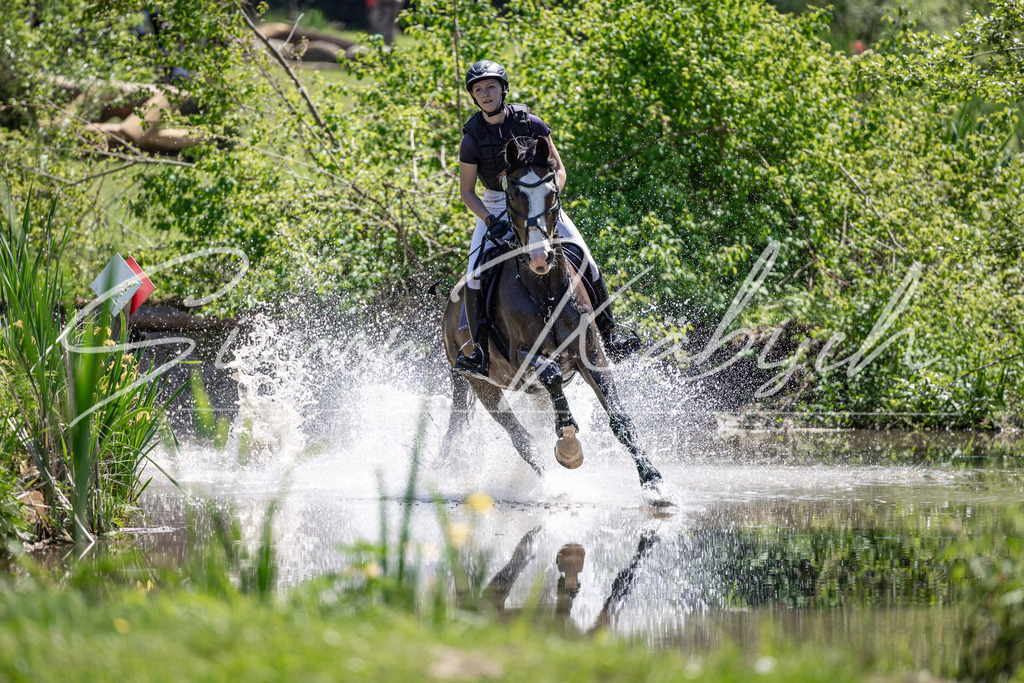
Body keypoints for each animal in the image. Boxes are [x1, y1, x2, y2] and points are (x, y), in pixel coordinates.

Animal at [440, 136, 668, 505]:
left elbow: (619, 418)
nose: (540, 257)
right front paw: (569, 447)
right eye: (513, 194)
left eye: (551, 194)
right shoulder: (522, 355)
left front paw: (654, 481)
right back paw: (548, 485)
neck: (544, 290)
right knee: (521, 439)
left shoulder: (591, 354)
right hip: (482, 385)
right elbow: (550, 374)